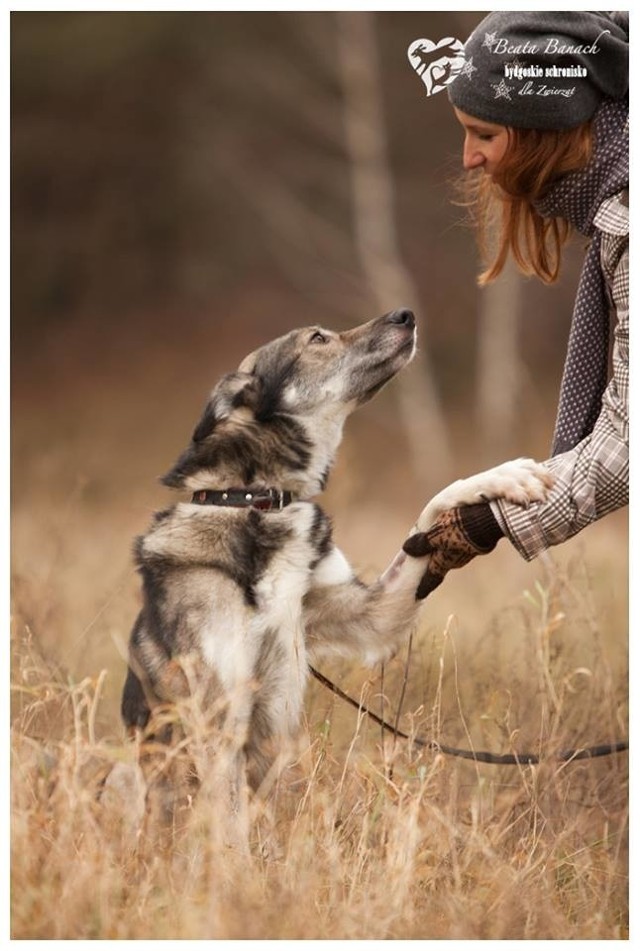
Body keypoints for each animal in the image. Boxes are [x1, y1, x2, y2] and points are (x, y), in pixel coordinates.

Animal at [120, 310, 552, 848]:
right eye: (318, 339)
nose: (406, 314)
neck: (254, 504)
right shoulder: (220, 720)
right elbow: (231, 833)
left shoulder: (370, 616)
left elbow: (432, 509)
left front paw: (503, 478)